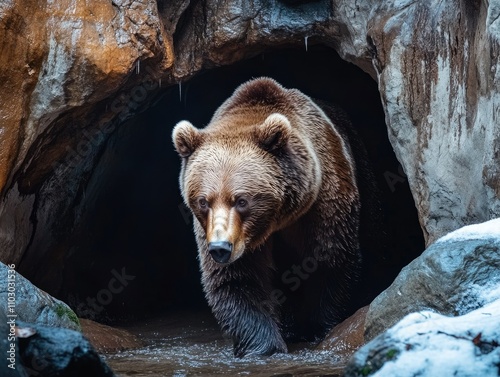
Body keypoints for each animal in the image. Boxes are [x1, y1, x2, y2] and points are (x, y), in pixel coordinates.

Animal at [172, 78, 378, 356]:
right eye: (204, 201)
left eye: (241, 200)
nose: (220, 248)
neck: (276, 220)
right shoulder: (219, 234)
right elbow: (237, 279)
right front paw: (263, 346)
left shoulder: (322, 201)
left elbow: (330, 260)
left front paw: (317, 329)